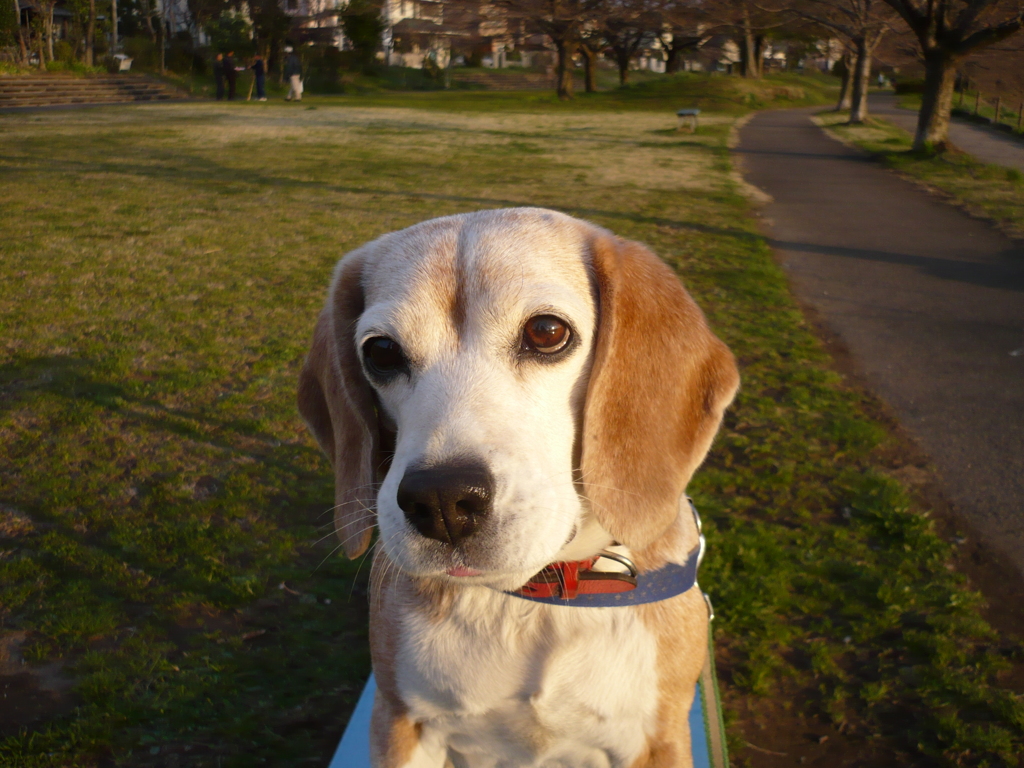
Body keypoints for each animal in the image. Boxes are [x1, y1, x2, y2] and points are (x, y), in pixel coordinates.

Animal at [299, 207, 741, 765]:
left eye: (547, 331)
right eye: (380, 351)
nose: (441, 501)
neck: (535, 603)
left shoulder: (659, 743)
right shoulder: (400, 722)